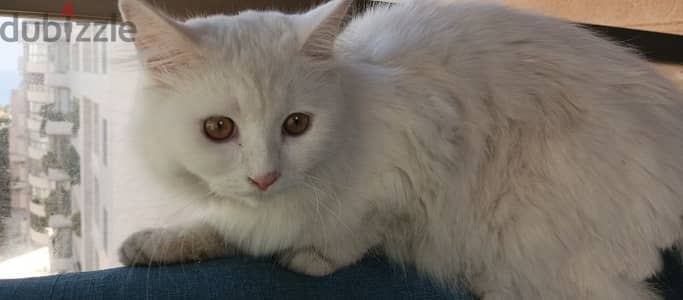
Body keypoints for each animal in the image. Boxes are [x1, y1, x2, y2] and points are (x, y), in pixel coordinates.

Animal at [116, 0, 683, 298]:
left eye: (297, 125)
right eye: (218, 129)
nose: (265, 177)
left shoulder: (410, 174)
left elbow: (358, 232)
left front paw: (313, 260)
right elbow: (220, 228)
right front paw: (147, 246)